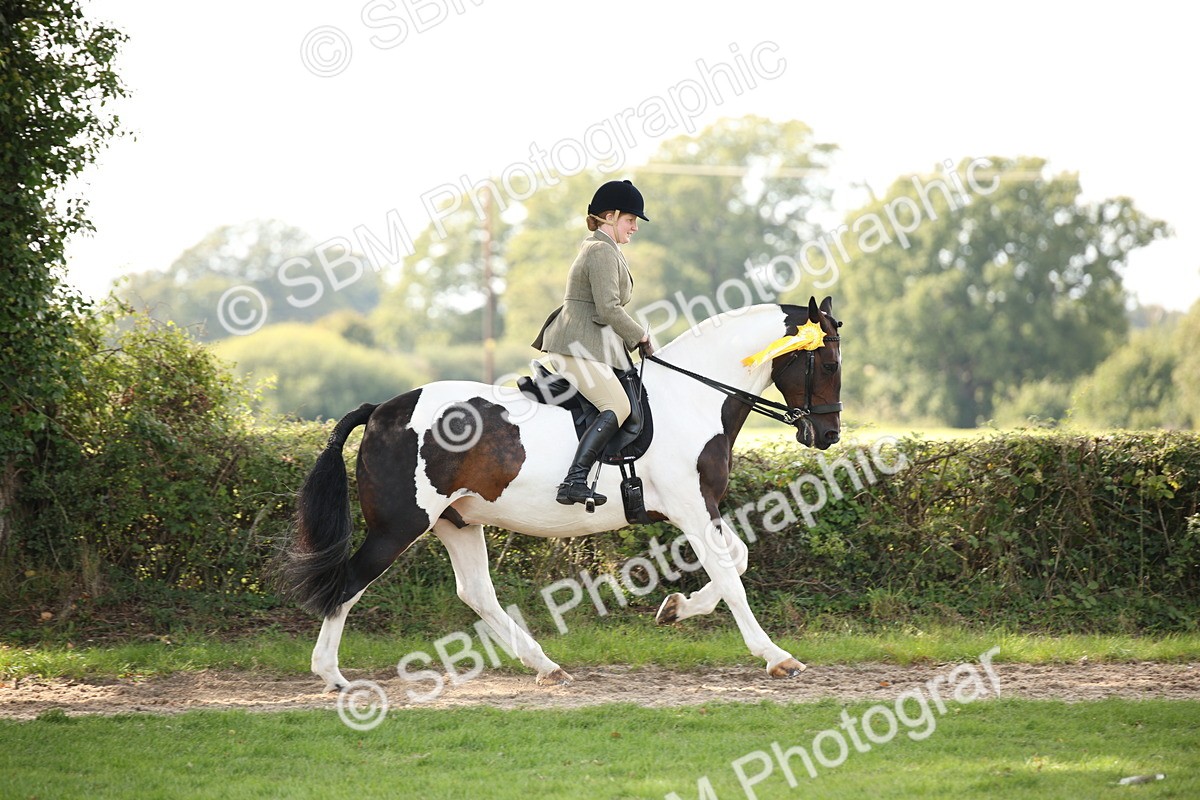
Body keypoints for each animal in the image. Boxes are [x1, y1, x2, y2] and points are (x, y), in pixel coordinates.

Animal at [278, 296, 843, 691]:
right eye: (831, 364)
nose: (829, 435)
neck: (692, 397)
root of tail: (380, 411)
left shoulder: (701, 508)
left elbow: (738, 560)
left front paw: (675, 608)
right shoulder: (691, 508)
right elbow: (731, 576)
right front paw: (777, 657)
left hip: (457, 521)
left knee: (476, 593)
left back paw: (547, 667)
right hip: (400, 525)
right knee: (350, 582)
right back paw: (331, 676)